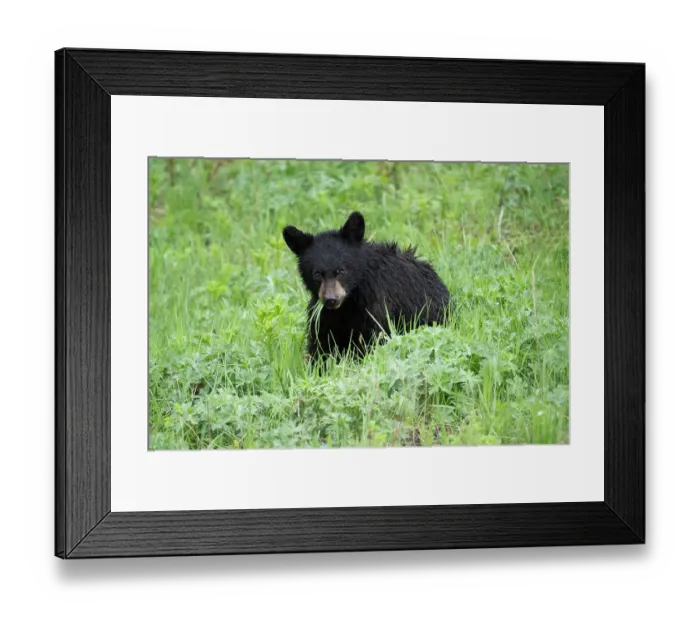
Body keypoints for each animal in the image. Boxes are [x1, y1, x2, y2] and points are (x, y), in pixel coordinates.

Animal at [283, 211, 451, 361]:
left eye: (341, 271)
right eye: (317, 274)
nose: (331, 299)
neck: (349, 301)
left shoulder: (376, 304)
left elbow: (373, 339)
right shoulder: (321, 314)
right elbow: (320, 345)